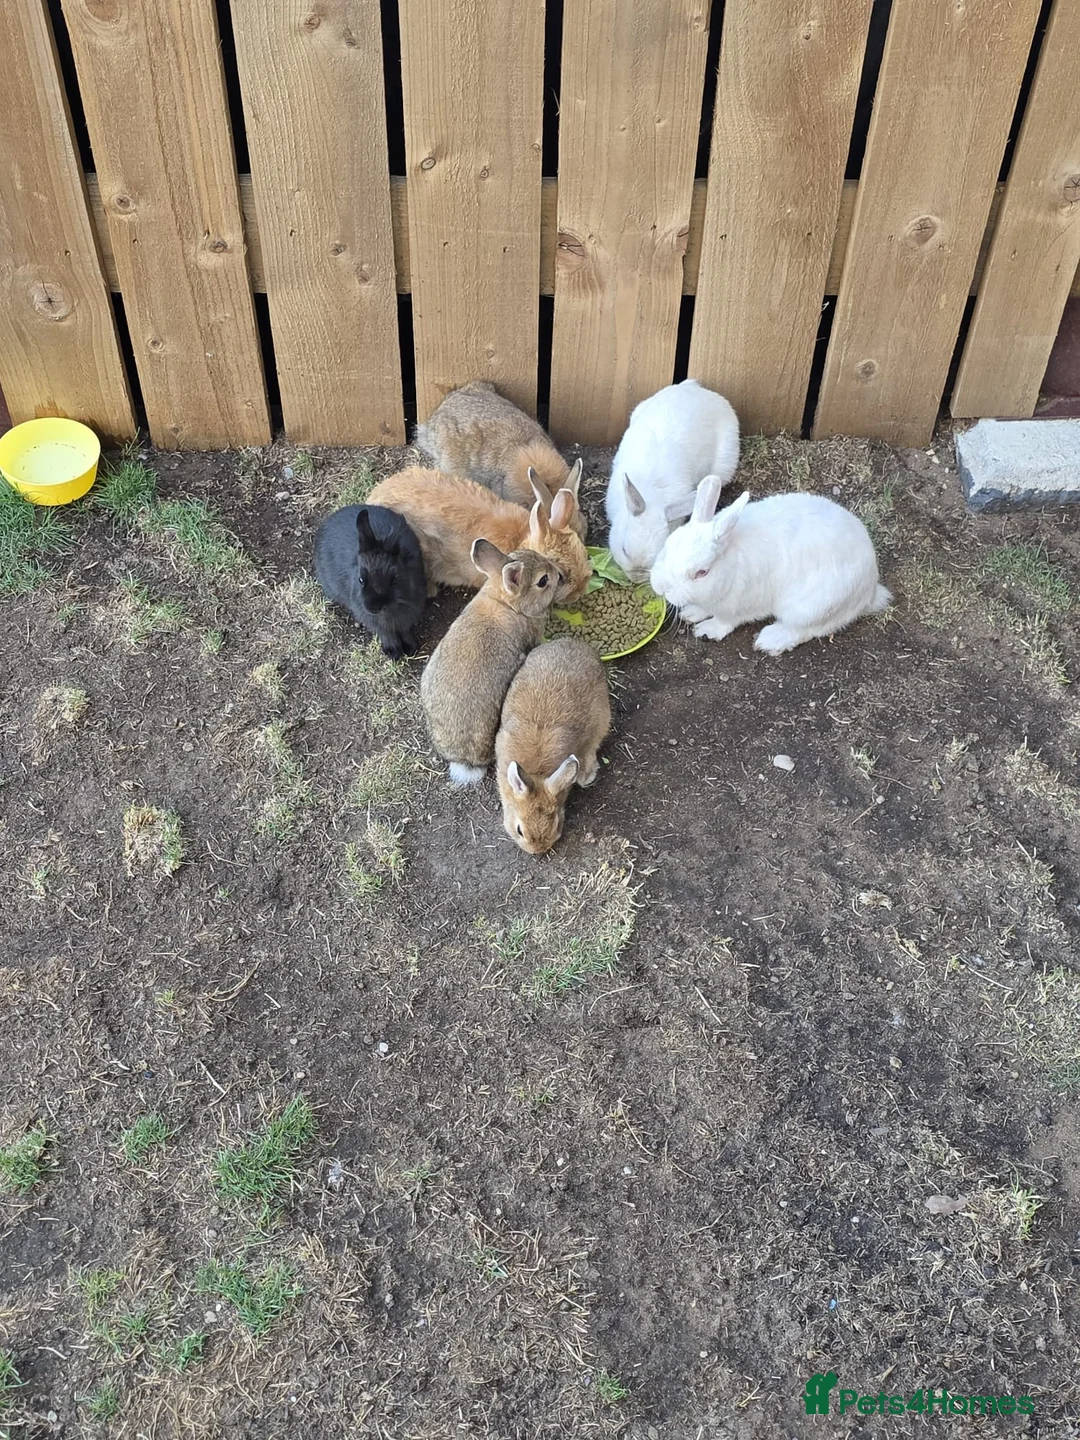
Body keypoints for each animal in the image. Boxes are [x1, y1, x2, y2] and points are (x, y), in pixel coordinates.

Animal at [312, 504, 427, 659]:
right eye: (361, 579)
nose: (375, 607)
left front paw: (411, 648)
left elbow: (405, 629)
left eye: (394, 579)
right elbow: (386, 633)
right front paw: (394, 652)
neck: (387, 612)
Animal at [495, 638, 611, 854]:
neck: (536, 772)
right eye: (520, 830)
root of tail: (574, 643)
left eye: (557, 825)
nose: (538, 851)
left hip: (602, 715)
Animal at [649, 473, 892, 656]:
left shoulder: (738, 607)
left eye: (701, 573)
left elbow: (725, 622)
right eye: (667, 547)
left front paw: (706, 630)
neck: (730, 564)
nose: (660, 588)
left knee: (807, 630)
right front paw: (690, 613)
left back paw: (770, 640)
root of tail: (870, 588)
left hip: (810, 608)